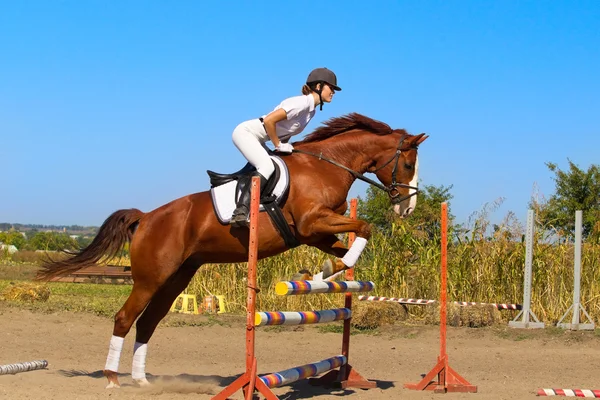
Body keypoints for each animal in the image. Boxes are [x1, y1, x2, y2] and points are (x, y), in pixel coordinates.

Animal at [35, 111, 426, 388]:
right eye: (408, 164)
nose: (407, 208)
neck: (325, 166)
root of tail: (146, 218)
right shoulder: (312, 223)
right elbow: (365, 228)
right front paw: (326, 270)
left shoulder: (314, 233)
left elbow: (346, 245)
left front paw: (322, 273)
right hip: (151, 277)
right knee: (125, 318)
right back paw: (113, 379)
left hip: (177, 277)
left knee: (148, 322)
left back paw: (143, 380)